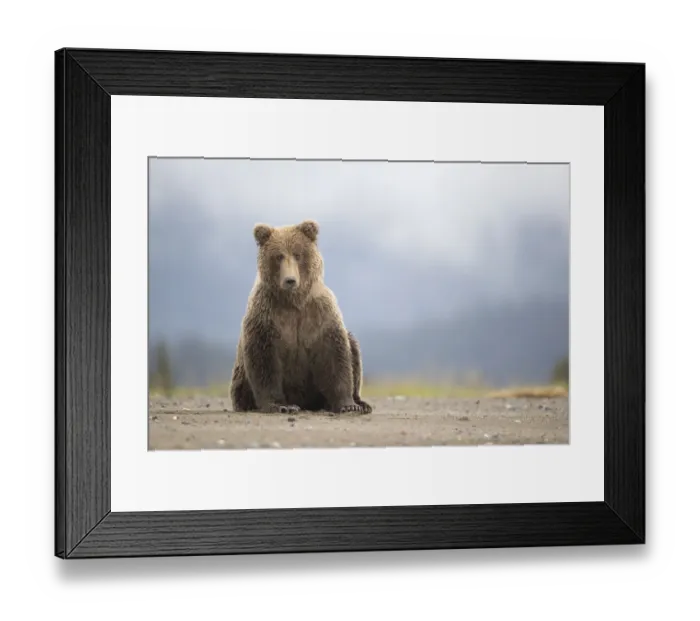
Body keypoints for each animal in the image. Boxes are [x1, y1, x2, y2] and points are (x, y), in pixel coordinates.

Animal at [230, 219, 373, 415]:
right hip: (241, 385)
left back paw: (361, 403)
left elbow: (335, 357)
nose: (290, 280)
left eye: (298, 254)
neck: (293, 301)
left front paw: (348, 404)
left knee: (353, 346)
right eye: (278, 256)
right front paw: (281, 405)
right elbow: (264, 360)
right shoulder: (266, 315)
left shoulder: (319, 313)